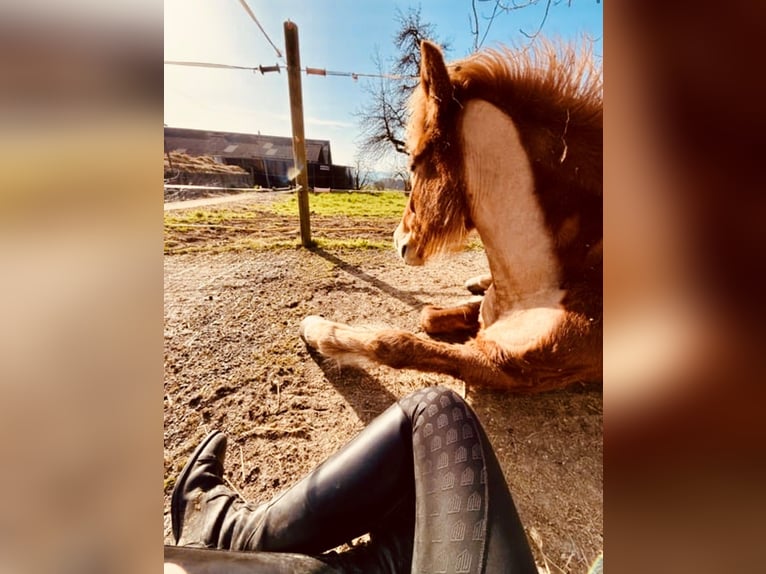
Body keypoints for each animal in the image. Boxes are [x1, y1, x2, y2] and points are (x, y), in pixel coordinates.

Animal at [300, 39, 602, 392]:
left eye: (414, 163)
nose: (398, 241)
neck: (536, 285)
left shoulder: (501, 366)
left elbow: (393, 343)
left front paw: (317, 328)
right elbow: (428, 315)